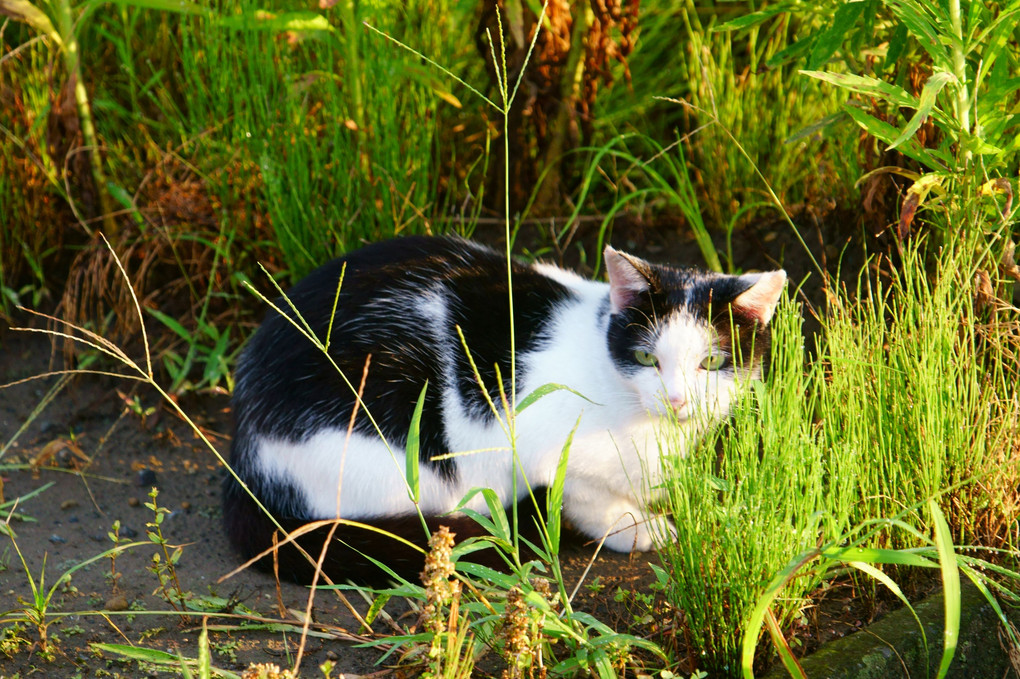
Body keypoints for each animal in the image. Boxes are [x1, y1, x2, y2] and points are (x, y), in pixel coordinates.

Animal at [219, 234, 783, 583]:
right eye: (648, 358)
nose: (677, 399)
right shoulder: (534, 439)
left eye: (712, 363)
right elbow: (584, 495)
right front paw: (634, 525)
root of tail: (243, 458)